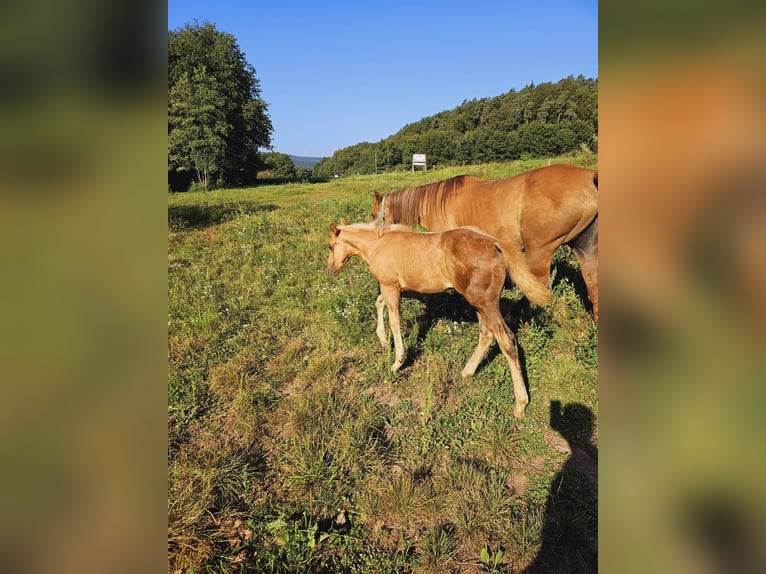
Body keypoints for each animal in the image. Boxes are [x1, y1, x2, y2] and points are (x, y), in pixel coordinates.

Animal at [328, 223, 556, 420]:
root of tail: (494, 243)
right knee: (486, 333)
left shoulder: (389, 286)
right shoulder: (395, 288)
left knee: (506, 339)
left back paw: (520, 405)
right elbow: (379, 302)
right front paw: (383, 341)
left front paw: (397, 362)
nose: (330, 270)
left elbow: (394, 321)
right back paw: (467, 371)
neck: (379, 243)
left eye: (330, 246)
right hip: (479, 304)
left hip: (484, 302)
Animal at [374, 164, 600, 322]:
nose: (377, 235)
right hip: (583, 247)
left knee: (537, 283)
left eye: (374, 214)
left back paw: (515, 314)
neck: (437, 202)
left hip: (540, 249)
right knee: (592, 280)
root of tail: (589, 176)